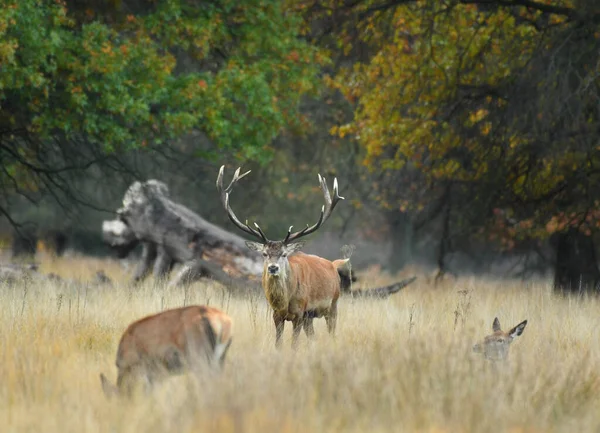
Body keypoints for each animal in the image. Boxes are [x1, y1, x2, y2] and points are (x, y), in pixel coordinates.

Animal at [217, 165, 346, 348]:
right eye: (264, 253)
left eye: (284, 254)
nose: (273, 268)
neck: (285, 302)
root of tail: (334, 265)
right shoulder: (277, 315)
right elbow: (278, 344)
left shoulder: (299, 313)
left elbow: (294, 345)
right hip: (310, 316)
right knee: (312, 337)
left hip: (333, 304)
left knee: (332, 333)